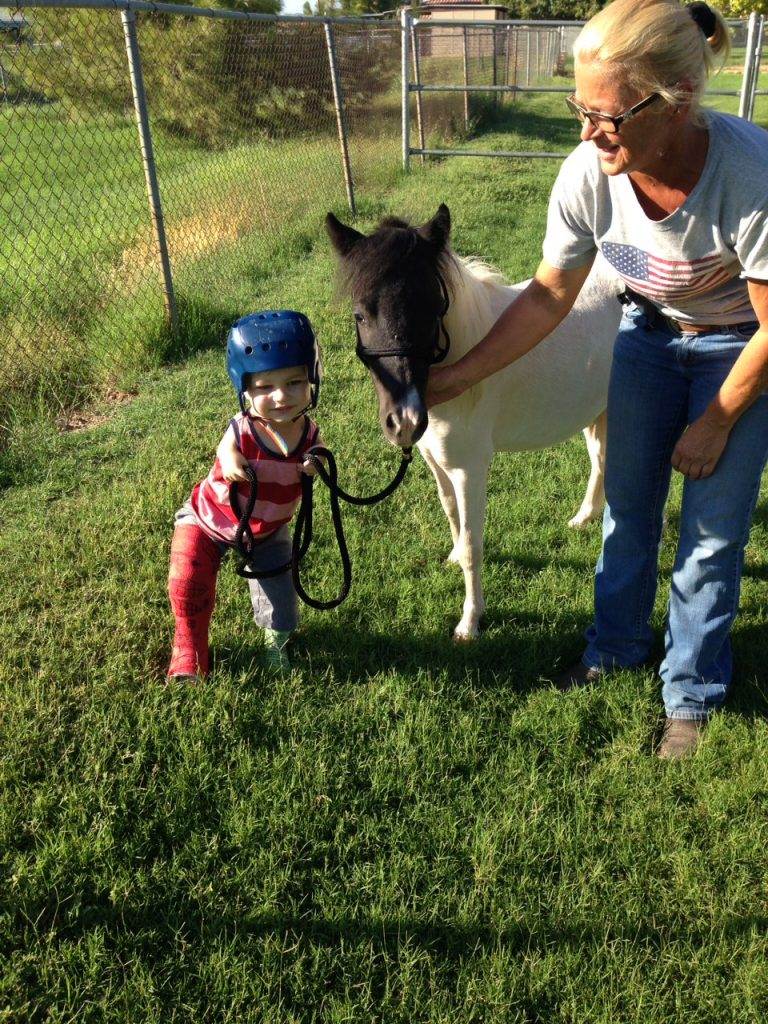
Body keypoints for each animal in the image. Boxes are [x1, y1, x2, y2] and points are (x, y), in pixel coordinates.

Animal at [325, 204, 626, 638]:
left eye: (434, 308)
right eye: (360, 315)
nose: (404, 421)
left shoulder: (470, 468)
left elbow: (472, 544)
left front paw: (470, 621)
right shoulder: (436, 461)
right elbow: (452, 514)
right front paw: (452, 558)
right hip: (597, 410)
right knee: (600, 460)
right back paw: (583, 518)